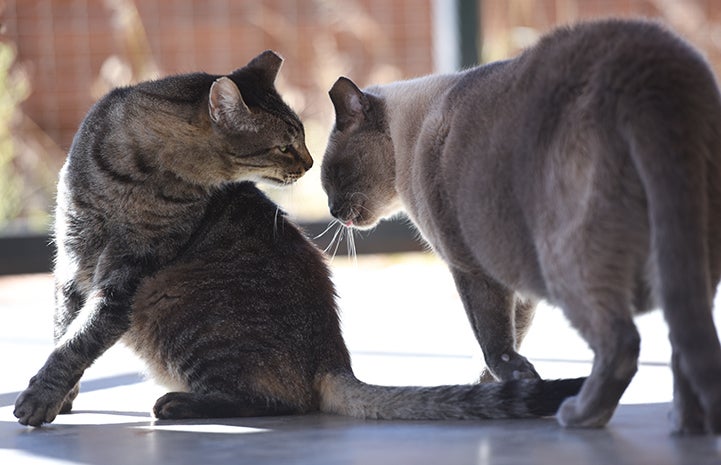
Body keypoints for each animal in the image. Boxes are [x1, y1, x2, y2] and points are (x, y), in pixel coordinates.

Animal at [14, 49, 584, 424]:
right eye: (287, 145)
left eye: (302, 142)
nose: (308, 166)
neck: (134, 171)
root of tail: (334, 360)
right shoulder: (71, 260)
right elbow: (65, 331)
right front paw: (60, 399)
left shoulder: (127, 273)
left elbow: (78, 340)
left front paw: (40, 400)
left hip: (178, 314)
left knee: (282, 402)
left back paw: (179, 404)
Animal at [320, 18, 720, 432]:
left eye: (333, 175)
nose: (331, 210)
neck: (408, 141)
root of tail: (649, 75)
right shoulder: (517, 281)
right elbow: (510, 339)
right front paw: (501, 391)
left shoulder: (471, 268)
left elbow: (494, 344)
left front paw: (518, 385)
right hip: (690, 251)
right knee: (685, 341)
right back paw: (687, 425)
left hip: (565, 260)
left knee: (622, 341)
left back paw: (580, 414)